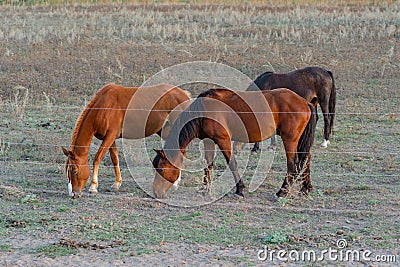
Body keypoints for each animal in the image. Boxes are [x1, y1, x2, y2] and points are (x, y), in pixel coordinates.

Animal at [61, 84, 191, 199]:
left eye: (74, 170)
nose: (73, 194)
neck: (104, 106)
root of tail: (184, 94)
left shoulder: (110, 136)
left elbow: (97, 158)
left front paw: (93, 187)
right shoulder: (110, 138)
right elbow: (114, 159)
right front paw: (117, 183)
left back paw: (175, 183)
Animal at [152, 89, 316, 200]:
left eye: (161, 169)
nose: (156, 192)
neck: (204, 109)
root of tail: (304, 102)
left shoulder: (223, 140)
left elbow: (231, 163)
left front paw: (240, 189)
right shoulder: (208, 141)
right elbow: (208, 164)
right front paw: (204, 189)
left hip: (289, 139)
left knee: (293, 163)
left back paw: (282, 191)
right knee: (306, 159)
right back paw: (305, 188)